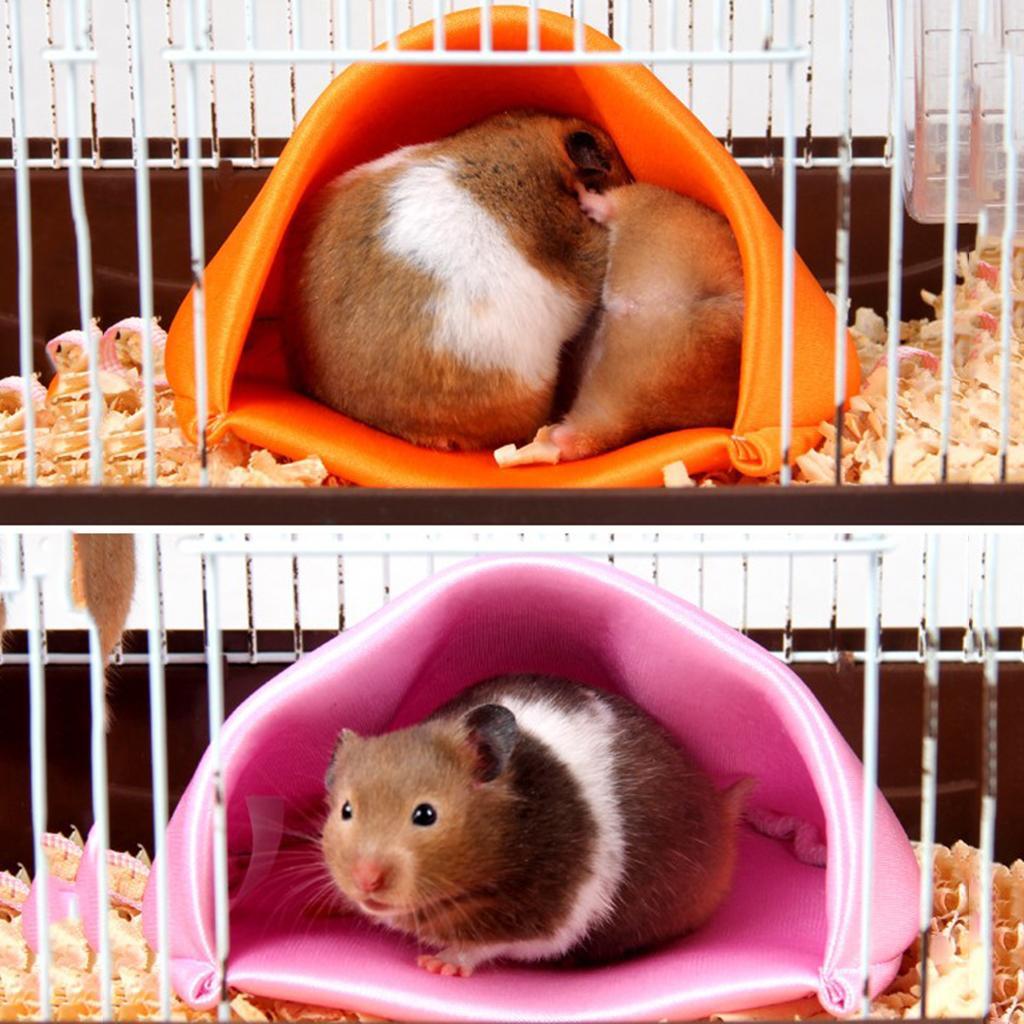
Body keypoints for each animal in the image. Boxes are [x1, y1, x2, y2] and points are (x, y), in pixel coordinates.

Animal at [321, 674, 751, 977]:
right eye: (346, 810)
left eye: (425, 814)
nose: (365, 880)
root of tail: (720, 811)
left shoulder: (545, 917)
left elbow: (486, 944)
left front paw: (438, 964)